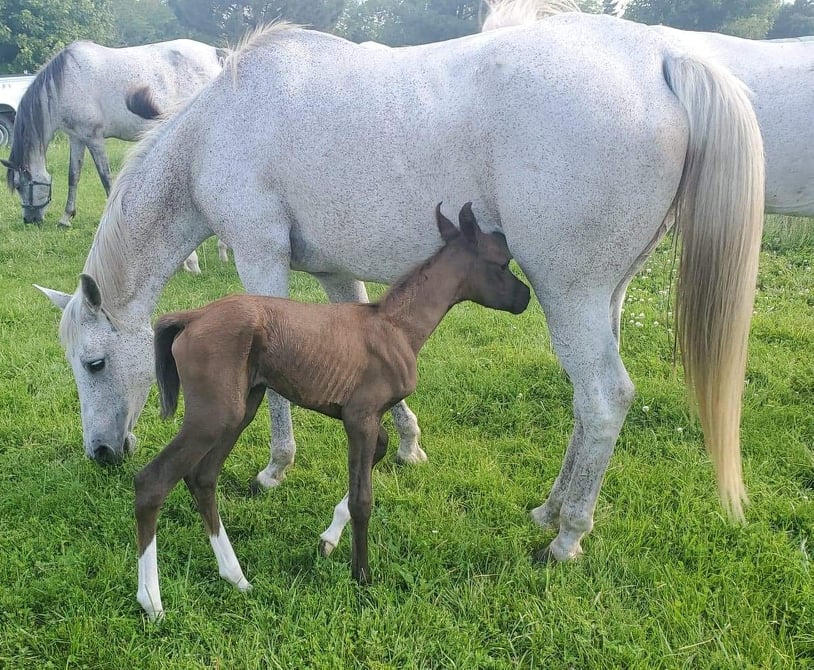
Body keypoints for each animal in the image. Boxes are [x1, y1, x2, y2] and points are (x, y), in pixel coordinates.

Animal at [2, 39, 223, 228]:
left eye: (19, 186)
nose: (29, 220)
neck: (65, 83)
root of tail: (215, 53)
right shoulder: (77, 138)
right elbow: (73, 176)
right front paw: (66, 217)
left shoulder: (94, 139)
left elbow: (106, 177)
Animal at [37, 15, 765, 569]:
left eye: (94, 363)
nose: (101, 453)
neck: (218, 127)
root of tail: (663, 57)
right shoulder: (335, 273)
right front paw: (408, 443)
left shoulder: (259, 257)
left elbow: (274, 391)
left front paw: (275, 469)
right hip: (605, 296)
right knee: (590, 409)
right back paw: (551, 508)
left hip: (570, 294)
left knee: (605, 398)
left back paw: (565, 537)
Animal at [134, 203, 530, 620]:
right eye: (501, 262)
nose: (525, 297)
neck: (396, 327)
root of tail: (191, 318)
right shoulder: (361, 418)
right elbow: (363, 499)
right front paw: (362, 575)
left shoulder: (364, 420)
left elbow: (374, 461)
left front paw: (328, 539)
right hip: (214, 415)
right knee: (153, 481)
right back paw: (152, 600)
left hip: (241, 409)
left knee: (202, 478)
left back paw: (236, 576)